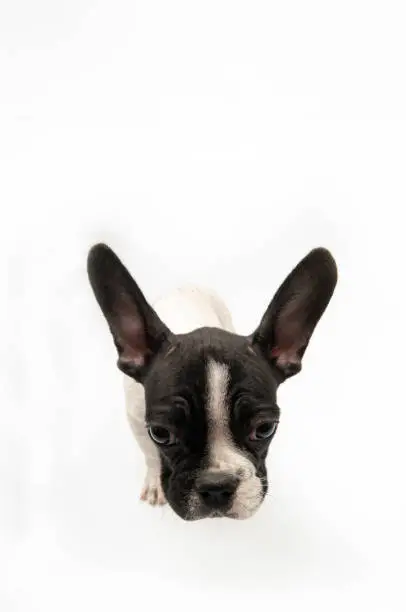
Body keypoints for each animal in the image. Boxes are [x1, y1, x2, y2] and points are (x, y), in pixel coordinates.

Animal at [86, 244, 336, 520]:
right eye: (161, 433)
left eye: (265, 428)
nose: (217, 485)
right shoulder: (135, 417)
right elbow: (149, 453)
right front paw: (154, 482)